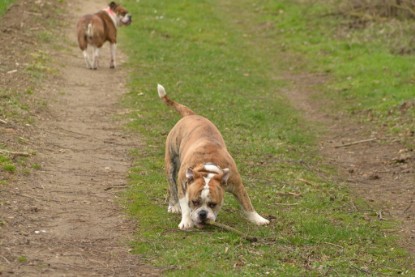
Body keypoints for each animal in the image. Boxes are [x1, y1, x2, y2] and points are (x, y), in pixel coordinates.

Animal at [158, 83, 272, 229]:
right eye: (194, 202)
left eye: (213, 204)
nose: (202, 214)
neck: (207, 168)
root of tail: (190, 115)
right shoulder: (184, 187)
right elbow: (185, 205)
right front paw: (186, 221)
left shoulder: (237, 185)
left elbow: (247, 204)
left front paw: (258, 219)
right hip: (171, 162)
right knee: (172, 184)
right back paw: (173, 205)